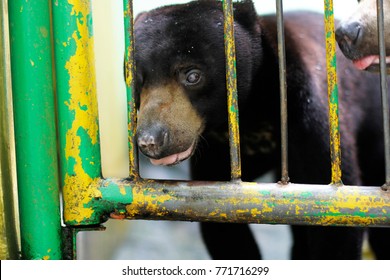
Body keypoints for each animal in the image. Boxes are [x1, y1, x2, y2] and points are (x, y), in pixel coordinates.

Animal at [133, 0, 386, 260]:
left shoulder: (309, 112)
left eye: (193, 75)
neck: (252, 112)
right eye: (137, 80)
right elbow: (218, 218)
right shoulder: (219, 148)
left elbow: (337, 214)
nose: (150, 140)